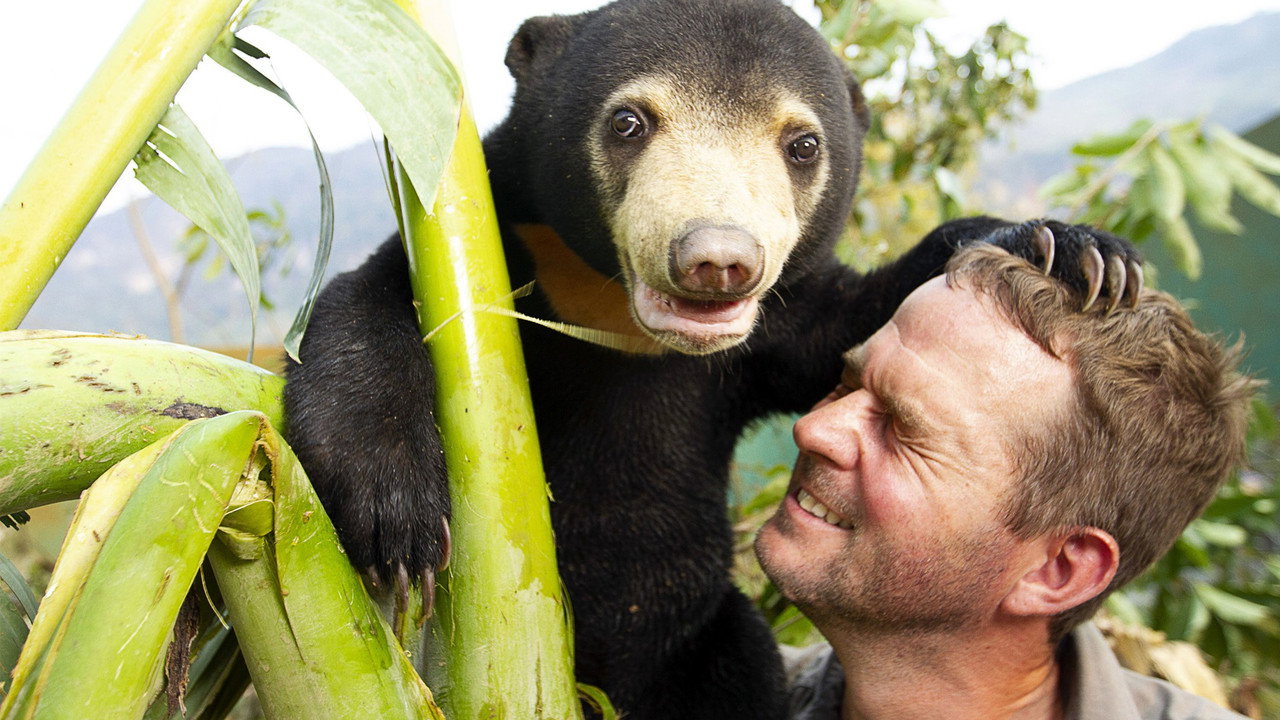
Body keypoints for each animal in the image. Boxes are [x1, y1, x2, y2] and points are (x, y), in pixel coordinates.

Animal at [282, 0, 1141, 717]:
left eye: (802, 144)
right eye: (629, 121)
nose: (718, 261)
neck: (616, 316)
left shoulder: (771, 334)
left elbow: (852, 317)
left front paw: (1075, 252)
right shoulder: (500, 249)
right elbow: (372, 305)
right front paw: (395, 516)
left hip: (704, 635)